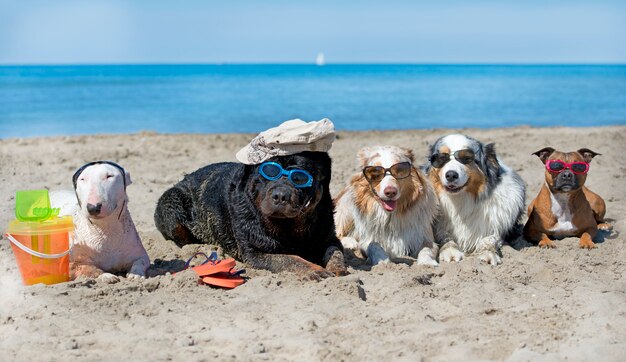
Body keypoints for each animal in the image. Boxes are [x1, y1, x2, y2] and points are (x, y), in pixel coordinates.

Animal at [153, 120, 344, 278]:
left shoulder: (329, 236)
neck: (289, 228)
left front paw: (337, 268)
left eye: (299, 178)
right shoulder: (255, 253)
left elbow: (335, 251)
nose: (281, 195)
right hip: (172, 203)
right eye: (270, 172)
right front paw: (315, 270)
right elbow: (290, 258)